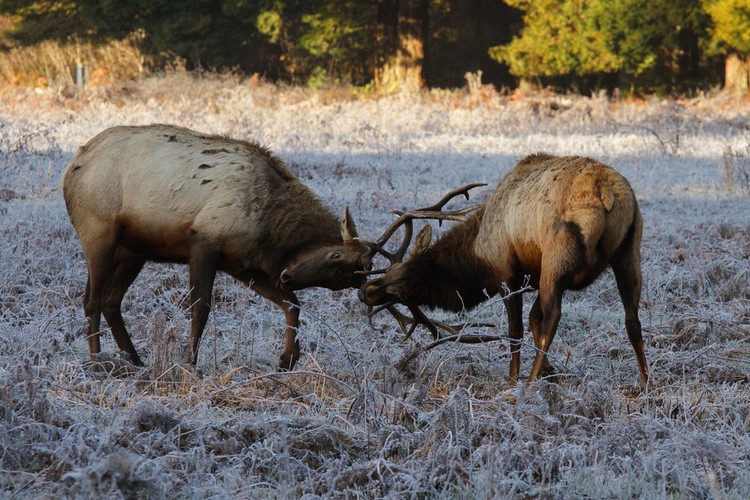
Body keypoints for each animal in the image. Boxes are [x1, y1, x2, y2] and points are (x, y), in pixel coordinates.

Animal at [62, 124, 371, 371]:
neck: (269, 227)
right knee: (91, 300)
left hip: (133, 251)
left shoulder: (241, 264)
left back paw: (136, 361)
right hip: (99, 232)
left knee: (111, 300)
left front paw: (287, 359)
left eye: (342, 280)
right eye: (334, 254)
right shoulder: (204, 243)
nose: (286, 277)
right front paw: (190, 364)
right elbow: (200, 308)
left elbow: (291, 303)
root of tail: (71, 168)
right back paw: (97, 363)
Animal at [358, 153, 649, 385]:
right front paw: (550, 371)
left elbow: (516, 331)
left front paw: (513, 380)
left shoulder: (507, 275)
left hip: (557, 258)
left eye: (408, 276)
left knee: (553, 317)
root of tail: (606, 193)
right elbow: (532, 319)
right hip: (629, 250)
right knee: (632, 319)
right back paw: (647, 383)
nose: (366, 290)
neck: (479, 253)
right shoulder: (532, 276)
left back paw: (528, 385)